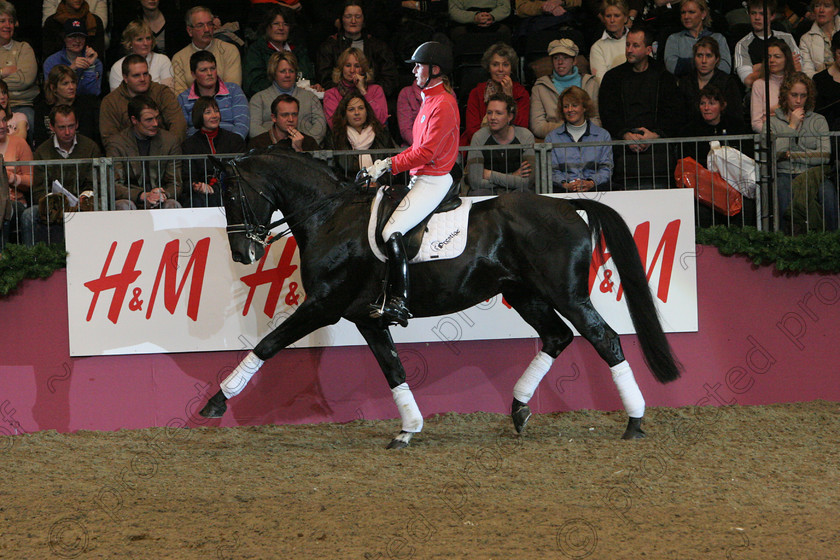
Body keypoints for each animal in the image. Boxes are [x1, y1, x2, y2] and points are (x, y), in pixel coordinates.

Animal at [199, 148, 684, 446]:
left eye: (231, 193)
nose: (242, 254)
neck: (331, 216)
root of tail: (568, 205)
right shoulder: (367, 318)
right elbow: (393, 369)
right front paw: (408, 429)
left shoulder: (324, 306)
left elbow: (268, 344)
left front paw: (216, 401)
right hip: (525, 294)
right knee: (556, 338)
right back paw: (519, 409)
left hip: (566, 295)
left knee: (605, 340)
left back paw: (634, 422)